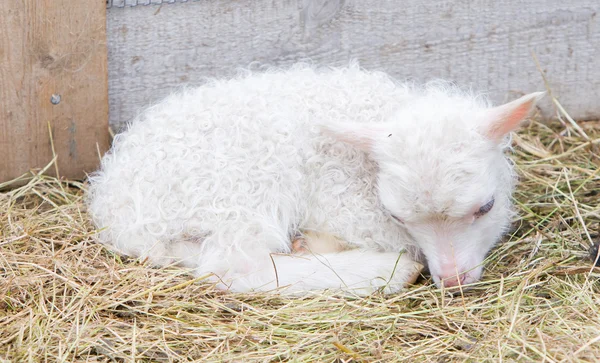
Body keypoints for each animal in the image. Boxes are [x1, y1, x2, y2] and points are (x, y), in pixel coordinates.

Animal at [88, 62, 544, 296]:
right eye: (398, 217)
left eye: (485, 207)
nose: (452, 281)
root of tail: (114, 208)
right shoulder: (341, 202)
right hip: (242, 188)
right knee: (234, 267)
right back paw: (386, 270)